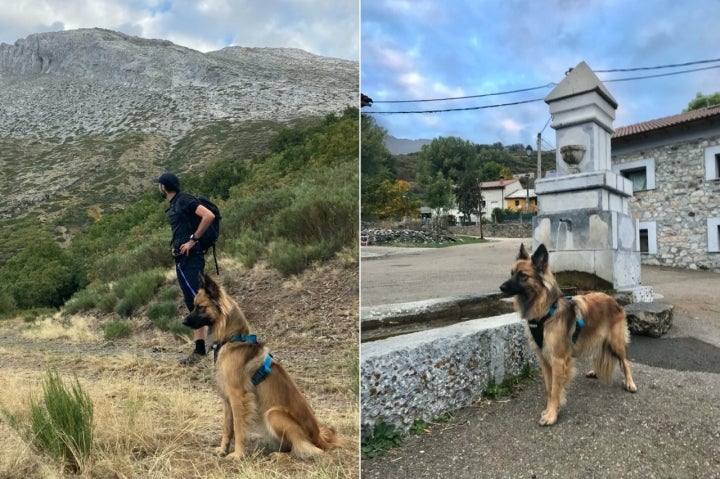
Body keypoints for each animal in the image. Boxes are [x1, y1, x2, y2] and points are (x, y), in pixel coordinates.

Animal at [183, 274, 340, 458]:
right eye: (194, 305)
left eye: (200, 307)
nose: (183, 321)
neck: (232, 339)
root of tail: (319, 437)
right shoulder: (226, 398)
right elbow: (227, 427)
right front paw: (223, 450)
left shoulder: (237, 396)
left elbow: (238, 428)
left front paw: (238, 454)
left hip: (273, 414)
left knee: (303, 447)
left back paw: (280, 455)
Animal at [498, 246, 640, 426]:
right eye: (511, 273)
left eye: (523, 275)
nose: (501, 287)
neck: (545, 313)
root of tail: (614, 300)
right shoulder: (544, 360)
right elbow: (549, 388)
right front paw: (549, 409)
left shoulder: (558, 360)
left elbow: (555, 389)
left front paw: (552, 415)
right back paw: (594, 371)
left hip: (616, 342)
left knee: (625, 361)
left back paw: (630, 383)